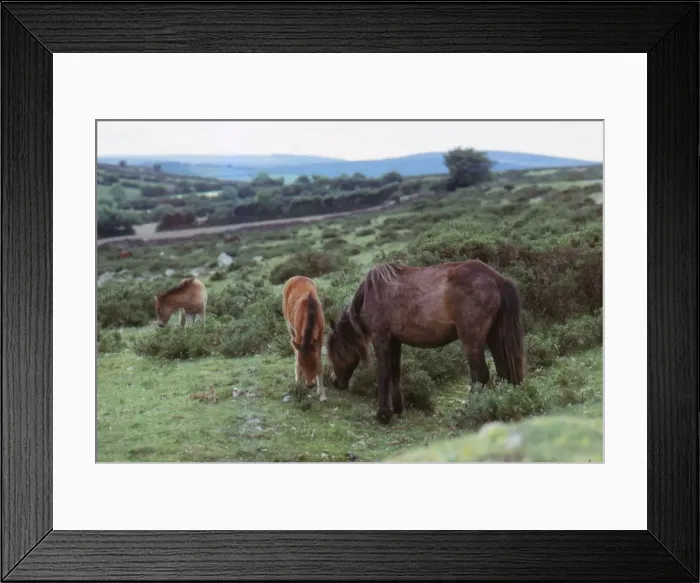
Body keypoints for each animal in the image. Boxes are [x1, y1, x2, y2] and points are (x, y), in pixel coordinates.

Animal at [326, 260, 526, 424]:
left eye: (334, 349)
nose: (335, 382)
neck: (372, 293)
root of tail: (497, 279)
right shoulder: (395, 341)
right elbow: (395, 373)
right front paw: (397, 409)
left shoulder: (380, 337)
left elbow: (383, 374)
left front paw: (383, 414)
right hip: (494, 336)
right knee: (502, 372)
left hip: (472, 340)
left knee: (480, 375)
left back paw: (469, 411)